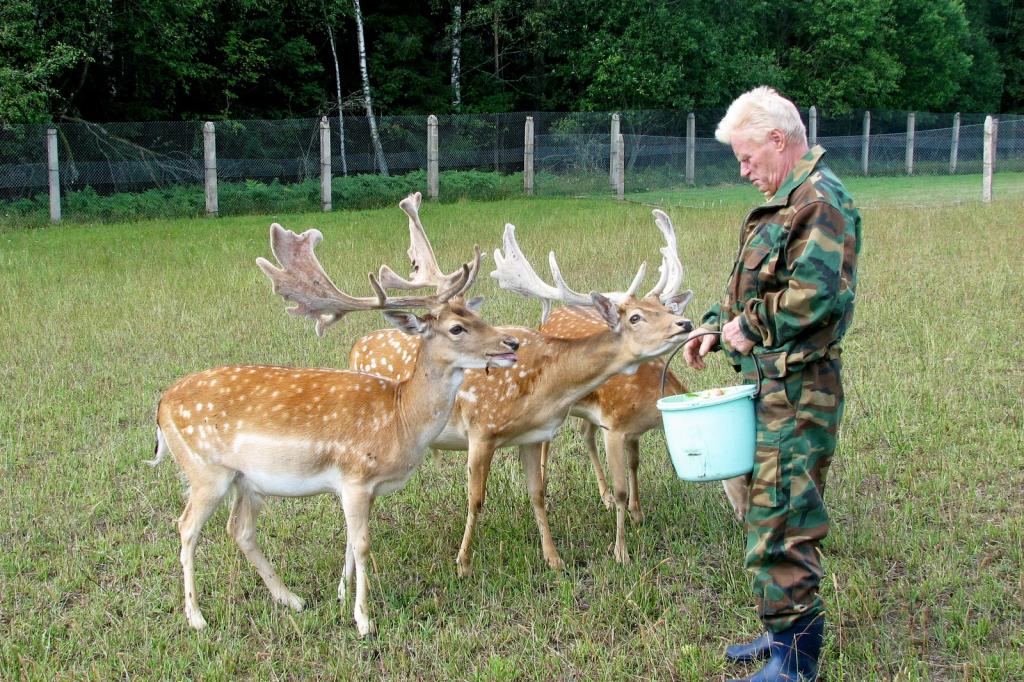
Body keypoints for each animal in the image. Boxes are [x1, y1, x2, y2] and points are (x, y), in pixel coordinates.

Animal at [148, 215, 516, 634]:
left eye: (477, 316)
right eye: (457, 328)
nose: (511, 344)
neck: (401, 419)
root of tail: (161, 405)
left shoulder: (357, 487)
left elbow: (350, 543)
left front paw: (341, 596)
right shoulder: (356, 477)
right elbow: (363, 544)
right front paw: (364, 619)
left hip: (246, 480)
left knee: (239, 530)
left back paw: (291, 598)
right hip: (205, 470)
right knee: (186, 526)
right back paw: (197, 616)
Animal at [348, 195, 692, 569]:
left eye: (666, 308)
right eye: (635, 317)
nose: (685, 324)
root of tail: (354, 348)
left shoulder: (533, 435)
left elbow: (538, 494)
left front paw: (554, 559)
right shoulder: (481, 430)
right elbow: (476, 499)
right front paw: (462, 563)